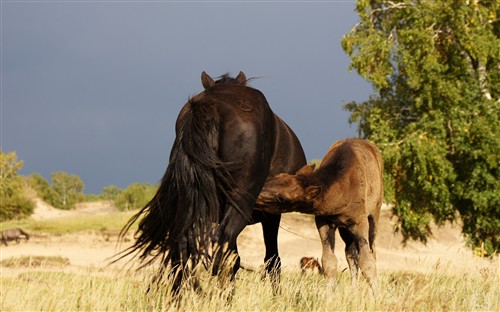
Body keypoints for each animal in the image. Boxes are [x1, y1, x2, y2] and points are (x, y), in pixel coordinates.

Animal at [117, 72, 306, 296]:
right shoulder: (270, 215)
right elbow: (271, 260)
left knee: (183, 246)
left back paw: (177, 297)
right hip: (241, 201)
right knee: (225, 249)